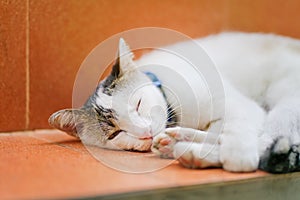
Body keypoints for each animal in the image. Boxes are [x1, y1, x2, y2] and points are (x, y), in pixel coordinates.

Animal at [48, 32, 300, 173]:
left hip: (286, 103)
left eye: (138, 103)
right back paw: (180, 145)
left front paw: (238, 155)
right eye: (115, 134)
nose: (146, 132)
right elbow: (219, 132)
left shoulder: (237, 107)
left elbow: (233, 129)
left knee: (268, 141)